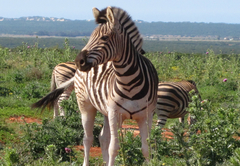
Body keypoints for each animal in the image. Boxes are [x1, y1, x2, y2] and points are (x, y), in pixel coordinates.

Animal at [32, 6, 159, 166]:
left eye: (104, 38)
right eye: (90, 37)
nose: (79, 61)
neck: (129, 82)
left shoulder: (146, 116)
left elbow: (146, 149)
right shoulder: (115, 114)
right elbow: (114, 148)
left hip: (105, 110)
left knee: (102, 137)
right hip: (85, 105)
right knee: (88, 138)